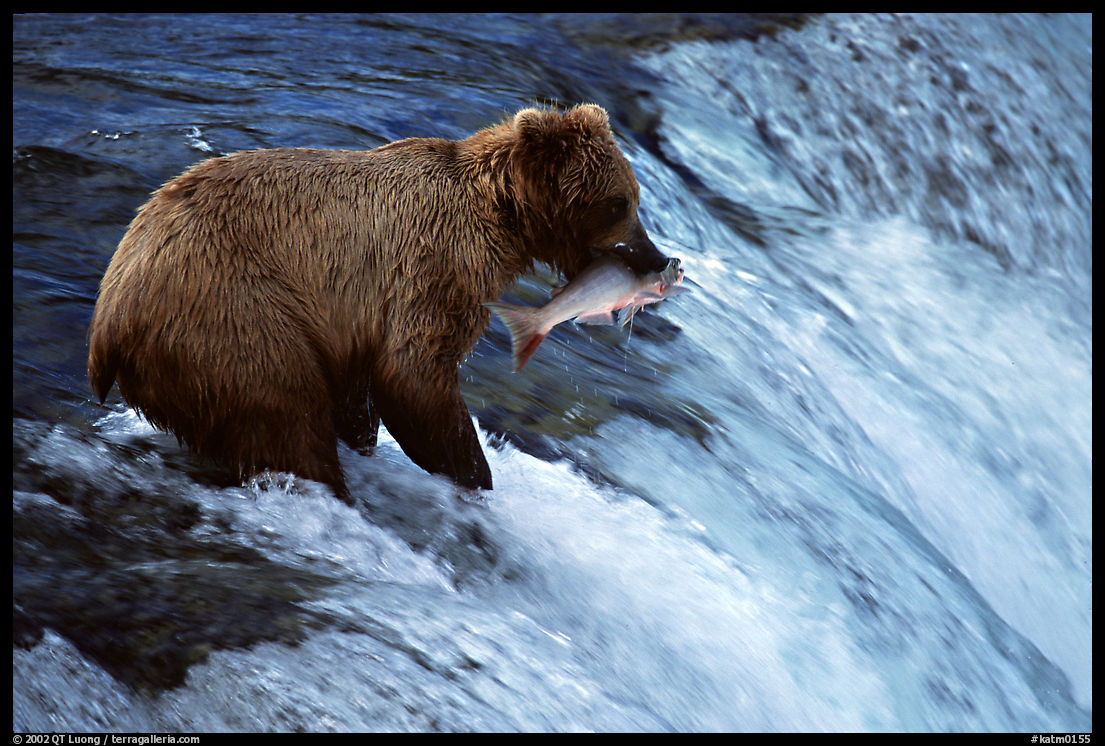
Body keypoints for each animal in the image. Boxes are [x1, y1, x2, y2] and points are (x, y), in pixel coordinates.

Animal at [87, 104, 672, 502]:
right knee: (286, 413)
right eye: (620, 203)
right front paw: (474, 473)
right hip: (232, 313)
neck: (501, 218)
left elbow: (362, 389)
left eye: (634, 198)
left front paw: (370, 437)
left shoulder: (353, 322)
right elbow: (413, 374)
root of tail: (108, 323)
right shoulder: (432, 267)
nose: (658, 257)